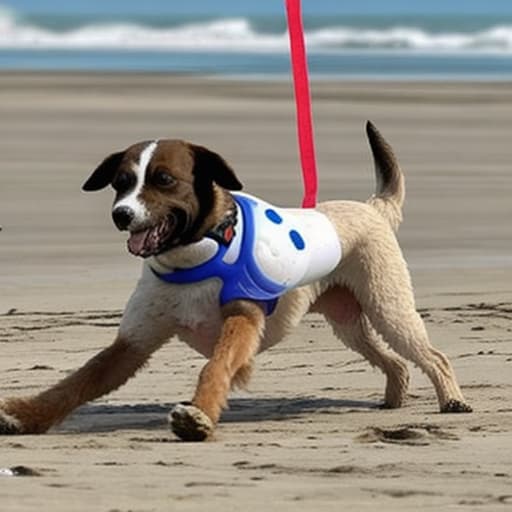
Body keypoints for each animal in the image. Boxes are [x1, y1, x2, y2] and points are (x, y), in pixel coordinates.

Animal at [0, 121, 472, 440]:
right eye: (121, 183)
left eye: (164, 180)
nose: (122, 215)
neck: (192, 257)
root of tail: (371, 207)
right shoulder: (131, 344)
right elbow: (75, 383)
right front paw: (27, 415)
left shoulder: (241, 320)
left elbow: (216, 365)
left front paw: (199, 416)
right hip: (347, 321)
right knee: (395, 361)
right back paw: (393, 397)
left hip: (389, 308)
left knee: (432, 355)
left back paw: (451, 399)